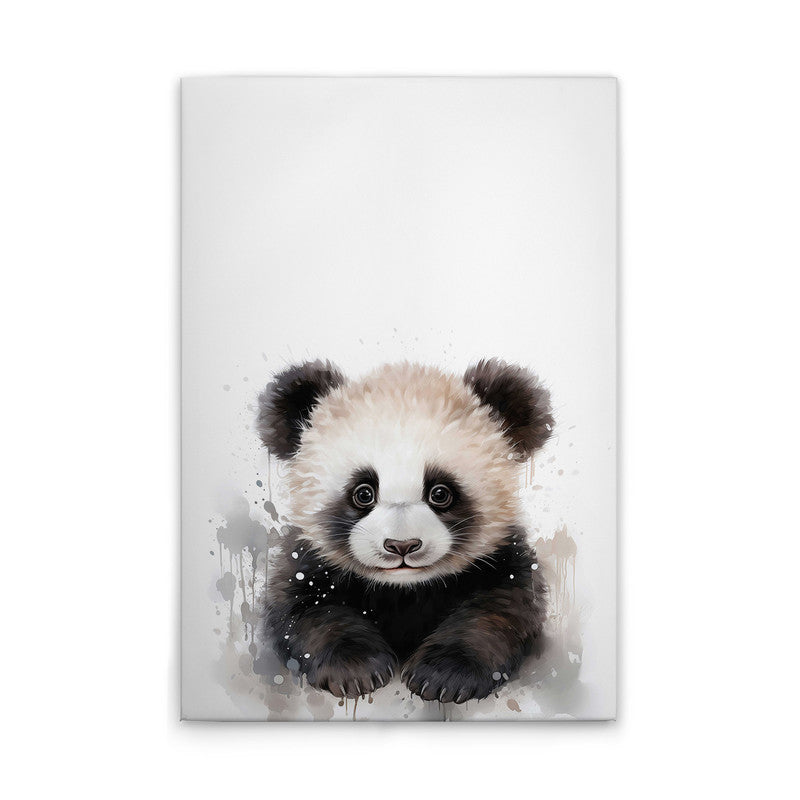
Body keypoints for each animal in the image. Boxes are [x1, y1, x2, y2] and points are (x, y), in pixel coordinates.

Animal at [257, 358, 553, 704]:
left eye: (440, 493)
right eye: (363, 493)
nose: (402, 545)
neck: (403, 589)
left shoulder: (502, 556)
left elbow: (500, 609)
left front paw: (445, 675)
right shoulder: (308, 558)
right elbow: (304, 609)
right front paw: (354, 668)